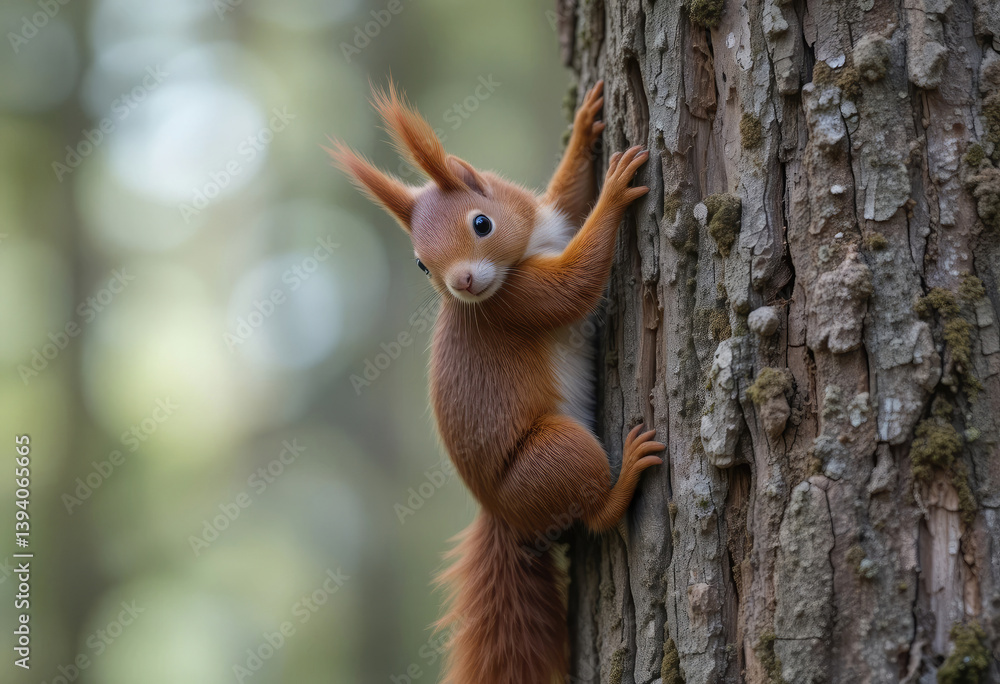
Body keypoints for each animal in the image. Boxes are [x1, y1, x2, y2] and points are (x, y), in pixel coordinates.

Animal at [329, 79, 664, 684]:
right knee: (595, 515)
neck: (525, 250)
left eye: (481, 223)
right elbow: (575, 286)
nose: (462, 283)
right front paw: (615, 191)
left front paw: (586, 128)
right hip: (555, 457)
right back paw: (626, 475)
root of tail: (504, 515)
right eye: (421, 263)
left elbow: (566, 197)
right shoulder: (517, 302)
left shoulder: (550, 219)